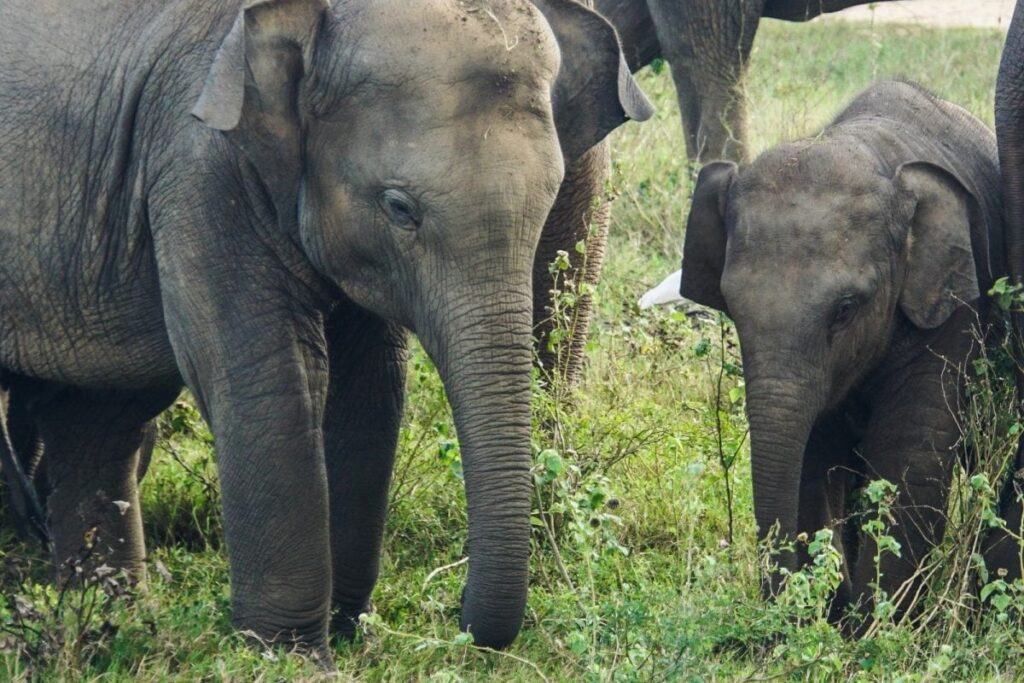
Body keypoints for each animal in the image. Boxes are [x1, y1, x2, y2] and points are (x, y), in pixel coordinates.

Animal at [2, 0, 647, 659]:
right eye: (399, 208)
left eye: (550, 199)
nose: (458, 616)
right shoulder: (196, 165)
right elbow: (272, 378)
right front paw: (286, 653)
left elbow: (369, 387)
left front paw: (342, 628)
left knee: (95, 415)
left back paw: (109, 626)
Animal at [679, 80, 1015, 630]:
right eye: (731, 306)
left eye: (845, 309)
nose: (776, 615)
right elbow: (816, 454)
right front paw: (832, 617)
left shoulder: (950, 302)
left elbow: (907, 453)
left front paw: (874, 628)